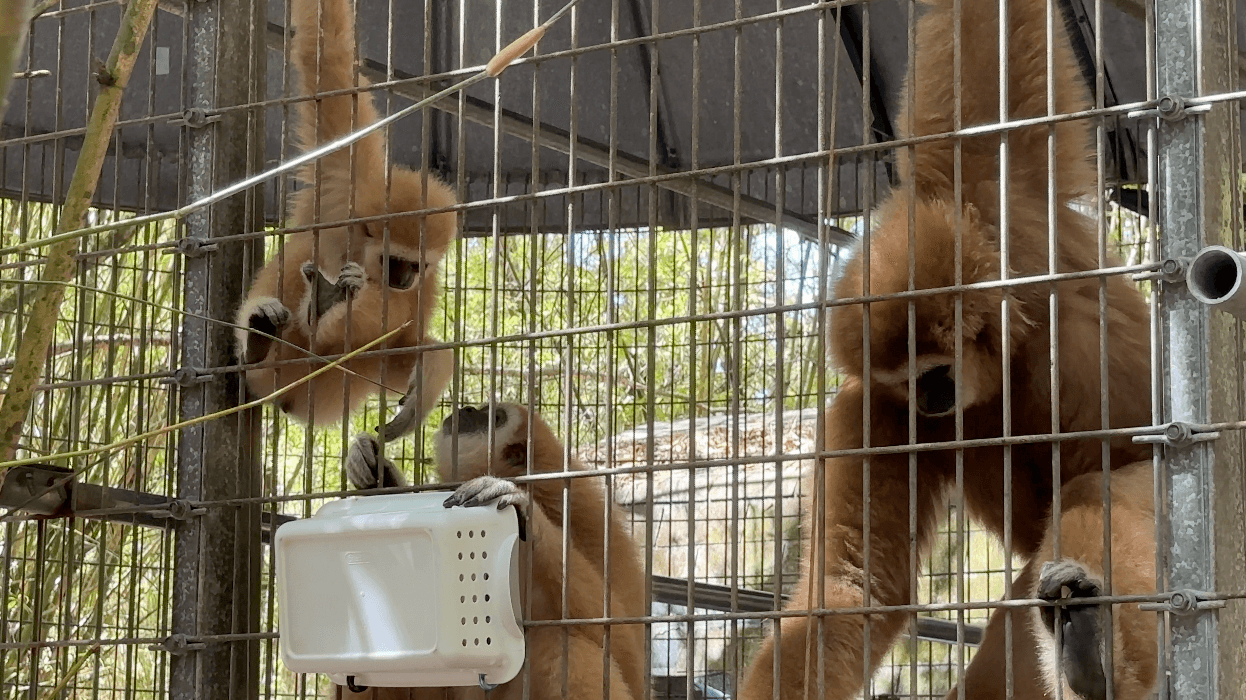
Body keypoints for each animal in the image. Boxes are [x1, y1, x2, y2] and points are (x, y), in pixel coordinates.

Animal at [233, 0, 455, 439]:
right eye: (395, 260)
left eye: (417, 265)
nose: (403, 279)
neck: (359, 243)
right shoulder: (346, 176)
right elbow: (326, 54)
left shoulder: (427, 284)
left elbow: (402, 342)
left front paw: (432, 372)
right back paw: (261, 340)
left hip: (329, 391)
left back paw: (330, 308)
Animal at [338, 404, 648, 700]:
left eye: (494, 416)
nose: (468, 409)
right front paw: (377, 474)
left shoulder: (584, 517)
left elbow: (623, 647)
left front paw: (524, 511)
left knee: (561, 647)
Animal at [734, 0, 1154, 696]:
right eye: (906, 381)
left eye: (932, 372)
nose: (931, 400)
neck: (1009, 361)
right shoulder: (875, 413)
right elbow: (854, 588)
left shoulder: (997, 202)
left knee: (1103, 484)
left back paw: (1092, 658)